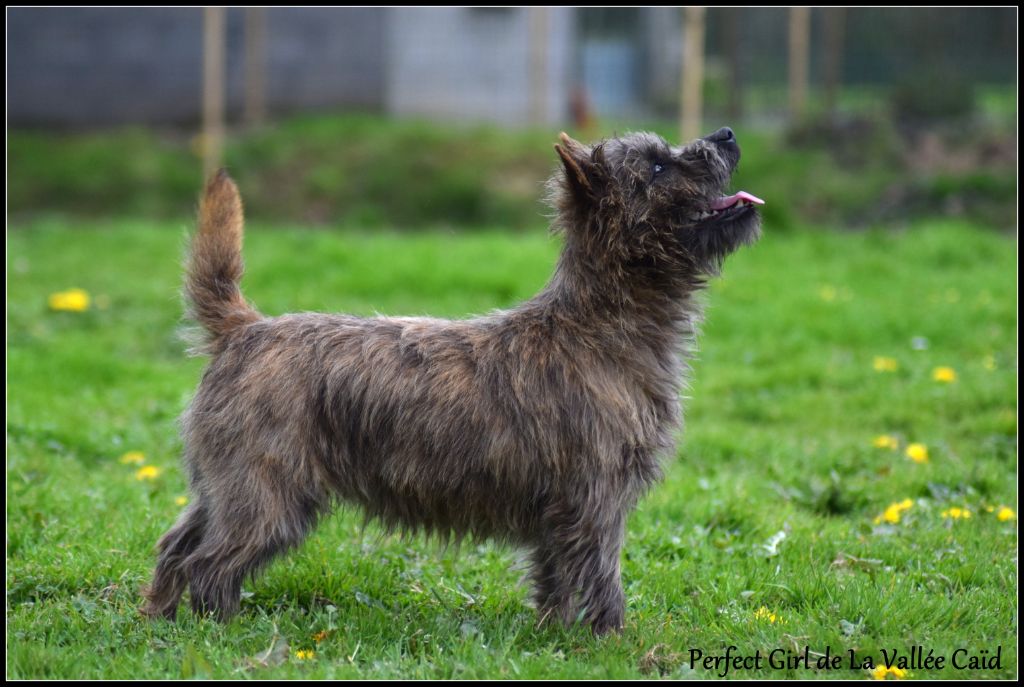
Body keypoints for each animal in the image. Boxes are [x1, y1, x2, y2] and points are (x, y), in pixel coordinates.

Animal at [141, 127, 762, 635]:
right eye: (657, 166)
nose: (727, 134)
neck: (600, 325)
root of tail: (244, 328)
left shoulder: (563, 511)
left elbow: (557, 579)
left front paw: (556, 637)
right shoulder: (597, 498)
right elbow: (601, 576)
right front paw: (612, 642)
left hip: (225, 486)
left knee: (176, 545)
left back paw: (158, 618)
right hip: (269, 497)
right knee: (209, 565)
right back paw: (221, 632)